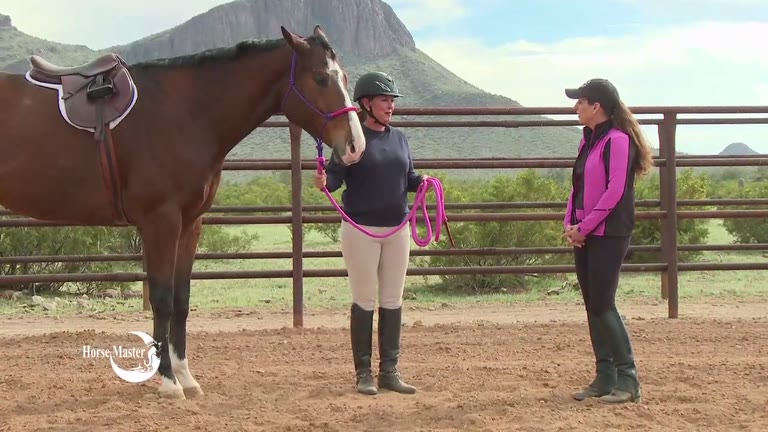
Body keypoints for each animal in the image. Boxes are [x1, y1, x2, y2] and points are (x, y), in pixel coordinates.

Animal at [0, 25, 366, 399]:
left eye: (344, 76)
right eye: (321, 78)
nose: (356, 145)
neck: (188, 113)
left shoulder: (191, 224)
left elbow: (182, 300)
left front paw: (186, 377)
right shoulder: (161, 221)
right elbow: (162, 299)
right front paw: (167, 381)